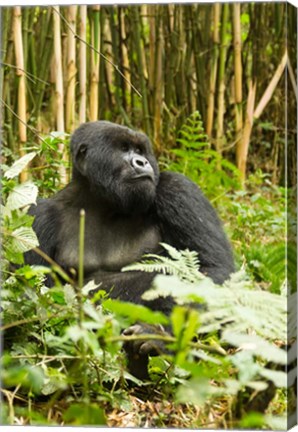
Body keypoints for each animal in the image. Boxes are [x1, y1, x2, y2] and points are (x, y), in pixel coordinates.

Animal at [25, 120, 234, 378]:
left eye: (141, 150)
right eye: (124, 148)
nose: (142, 162)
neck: (101, 202)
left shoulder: (178, 189)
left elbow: (211, 269)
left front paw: (159, 335)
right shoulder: (39, 215)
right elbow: (35, 300)